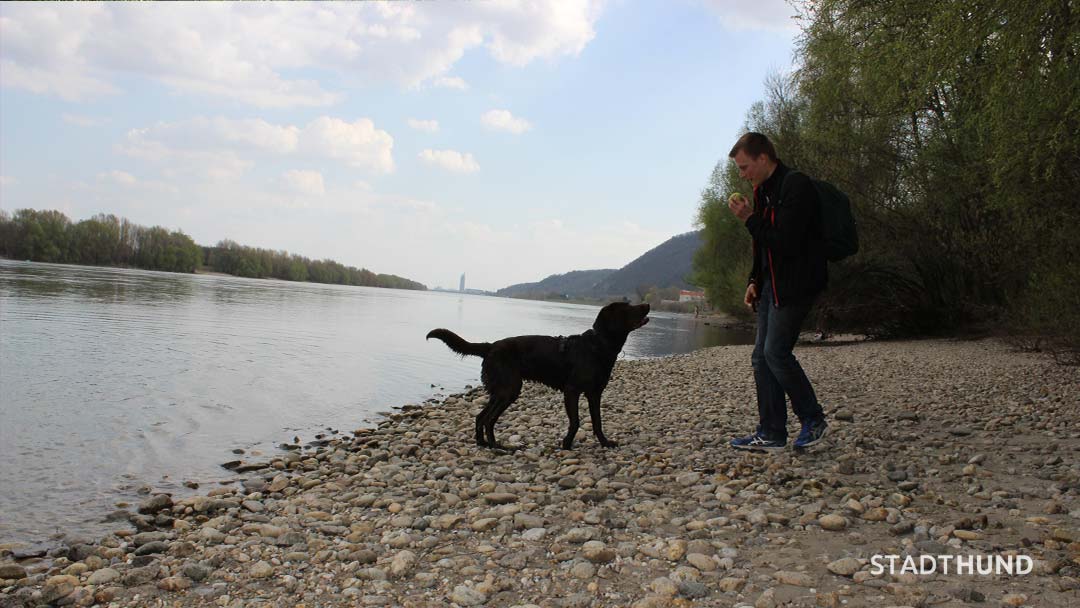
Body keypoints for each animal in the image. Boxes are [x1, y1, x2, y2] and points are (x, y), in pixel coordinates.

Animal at [425, 302, 648, 449]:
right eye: (628, 308)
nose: (646, 304)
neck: (598, 346)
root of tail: (491, 346)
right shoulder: (572, 391)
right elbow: (576, 421)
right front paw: (567, 444)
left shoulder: (595, 394)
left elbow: (597, 422)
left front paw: (605, 442)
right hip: (509, 390)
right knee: (488, 419)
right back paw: (498, 447)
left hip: (501, 391)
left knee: (481, 416)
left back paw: (483, 443)